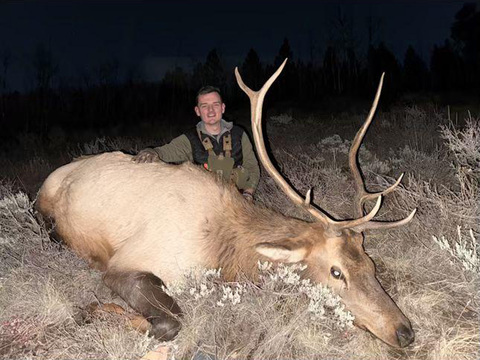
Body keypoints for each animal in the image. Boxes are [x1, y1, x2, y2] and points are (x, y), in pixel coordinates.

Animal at [36, 59, 416, 348]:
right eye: (336, 271)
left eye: (370, 264)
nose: (405, 332)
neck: (224, 249)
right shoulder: (126, 262)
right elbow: (170, 323)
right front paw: (89, 311)